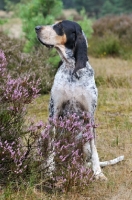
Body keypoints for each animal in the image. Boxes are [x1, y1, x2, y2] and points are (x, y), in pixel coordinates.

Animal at [35, 19, 124, 180]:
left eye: (59, 26)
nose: (36, 28)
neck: (72, 69)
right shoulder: (54, 111)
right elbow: (51, 146)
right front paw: (49, 169)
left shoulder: (90, 114)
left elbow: (94, 148)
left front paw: (98, 173)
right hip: (42, 136)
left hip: (83, 139)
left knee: (85, 158)